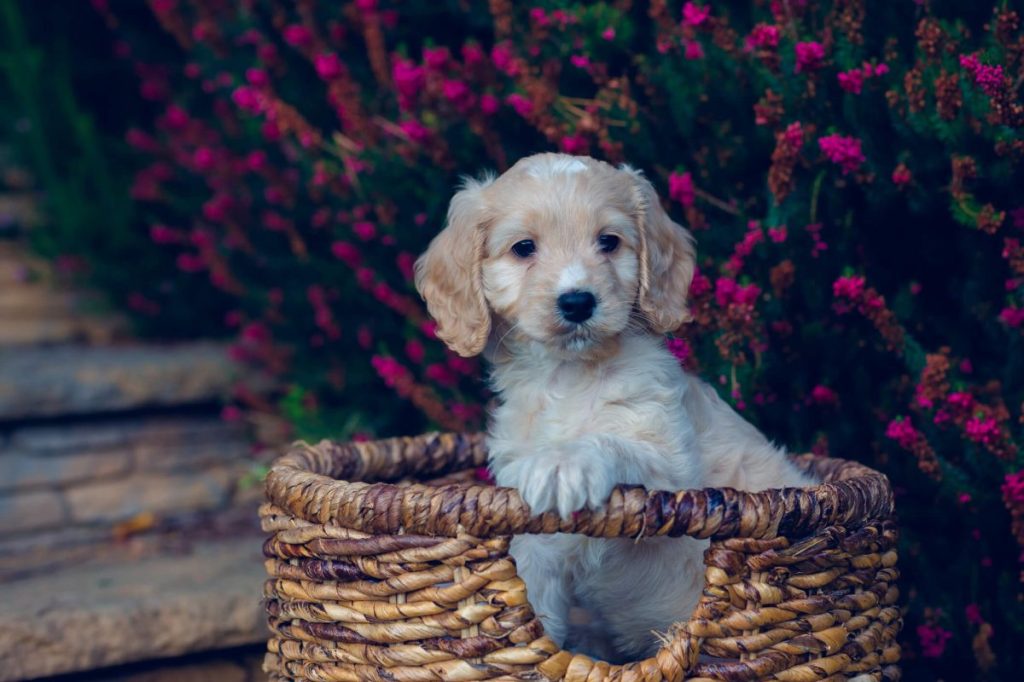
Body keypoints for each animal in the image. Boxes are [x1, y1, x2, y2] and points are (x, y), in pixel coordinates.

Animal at [411, 152, 811, 659]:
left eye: (609, 242)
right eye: (524, 248)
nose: (578, 301)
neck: (569, 376)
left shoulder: (673, 463)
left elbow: (613, 442)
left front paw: (563, 464)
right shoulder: (537, 541)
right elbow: (534, 599)